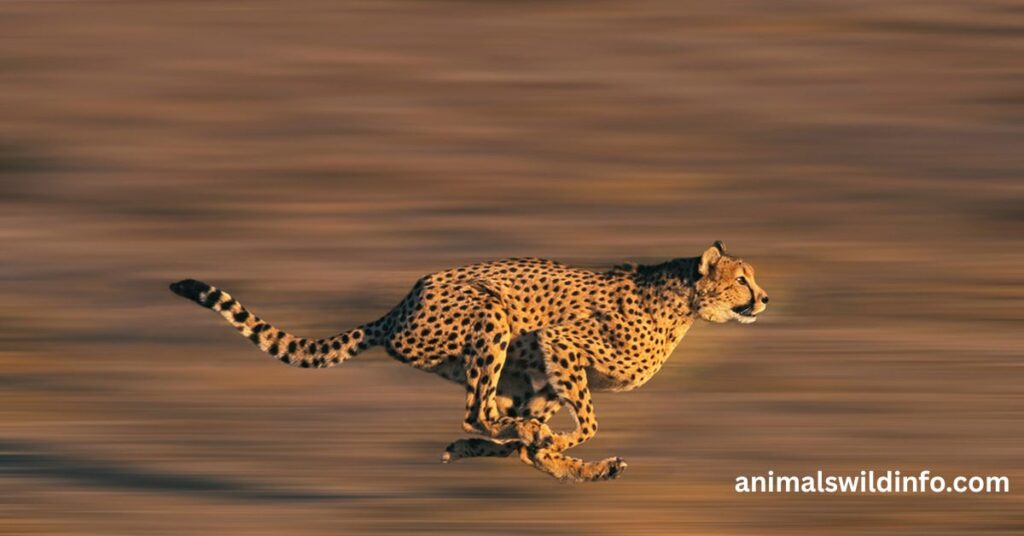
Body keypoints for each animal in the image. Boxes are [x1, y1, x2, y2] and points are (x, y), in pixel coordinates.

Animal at [169, 241, 769, 482]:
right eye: (742, 279)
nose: (764, 299)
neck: (684, 302)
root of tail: (402, 303)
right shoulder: (559, 342)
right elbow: (588, 421)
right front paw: (558, 442)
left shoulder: (546, 368)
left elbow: (546, 437)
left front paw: (559, 452)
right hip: (491, 314)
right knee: (478, 413)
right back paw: (518, 440)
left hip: (513, 365)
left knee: (494, 423)